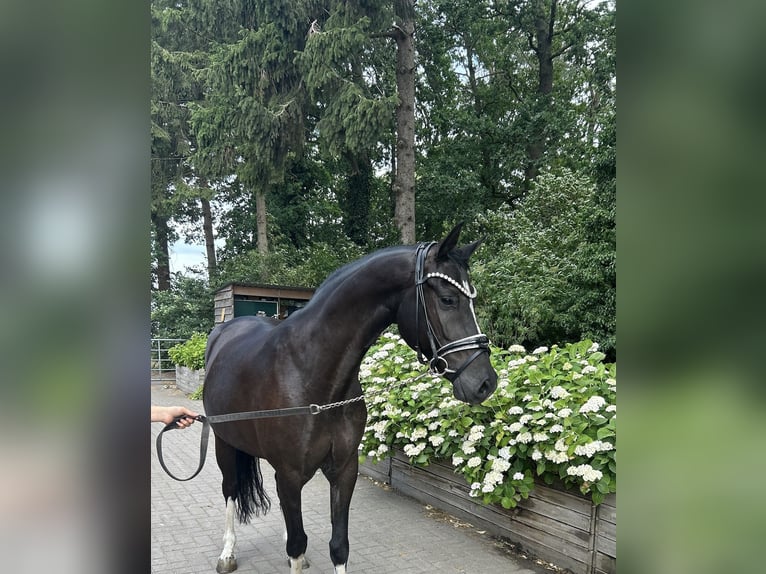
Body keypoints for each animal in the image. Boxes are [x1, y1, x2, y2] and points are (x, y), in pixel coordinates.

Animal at [202, 223, 498, 573]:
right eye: (448, 299)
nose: (485, 382)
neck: (311, 377)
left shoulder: (344, 470)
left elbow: (338, 546)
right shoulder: (288, 476)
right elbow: (297, 542)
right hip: (224, 443)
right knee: (231, 490)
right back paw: (227, 553)